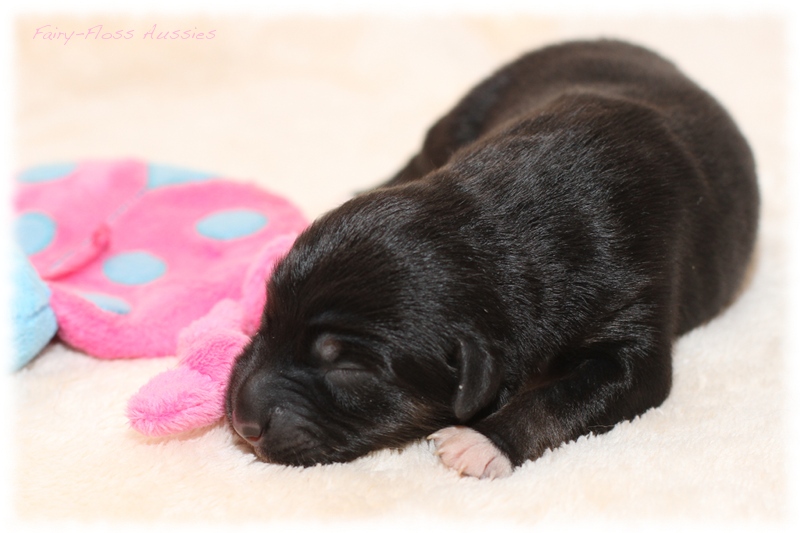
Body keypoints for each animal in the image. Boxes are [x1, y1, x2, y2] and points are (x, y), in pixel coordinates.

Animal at [223, 39, 756, 476]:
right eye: (267, 315)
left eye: (349, 371)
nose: (241, 421)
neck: (503, 224)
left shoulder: (633, 305)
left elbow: (571, 394)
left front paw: (481, 442)